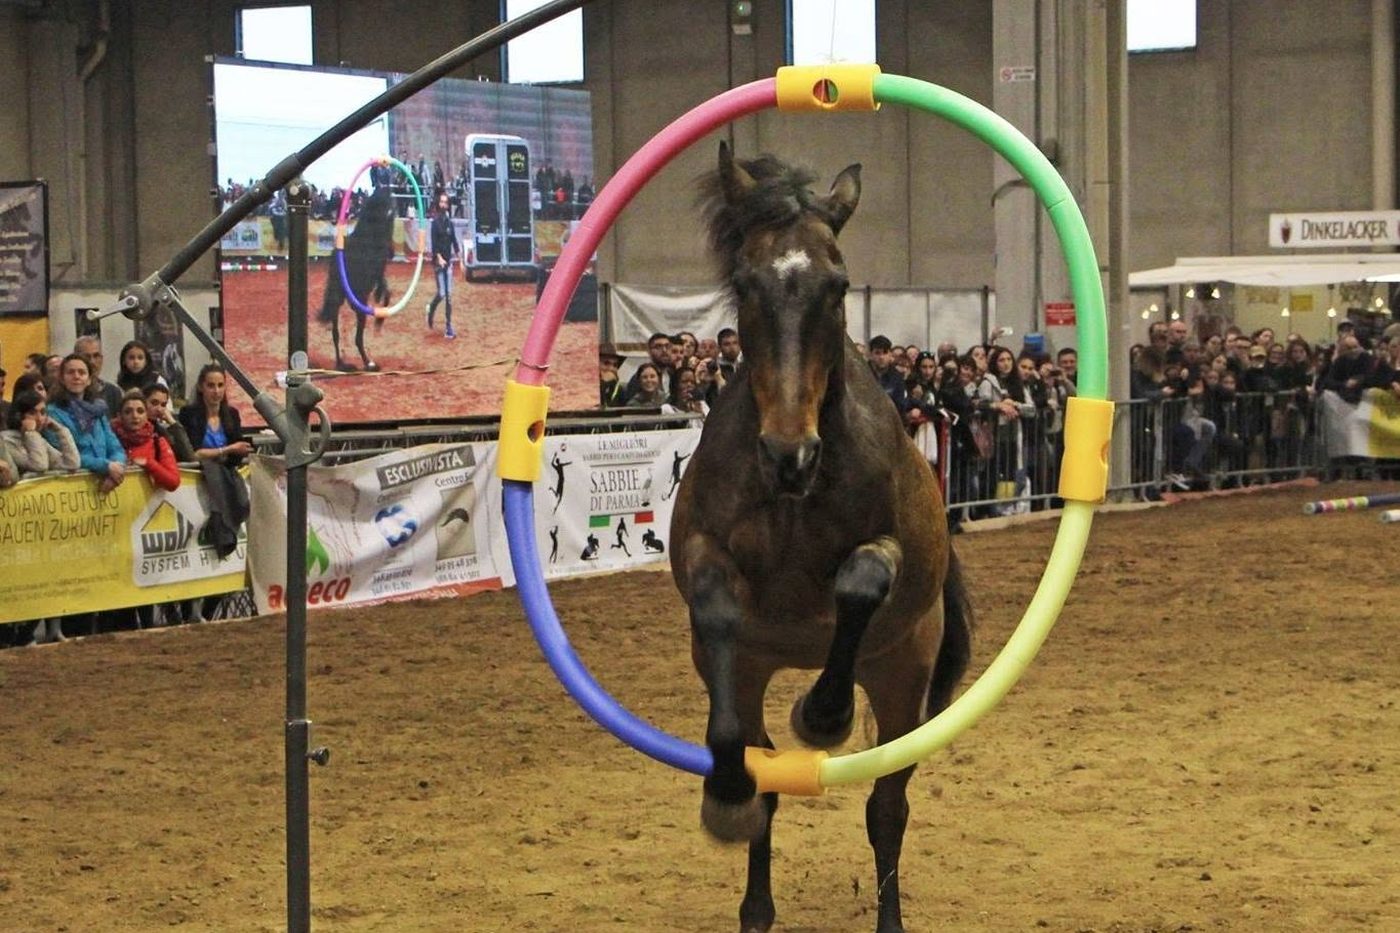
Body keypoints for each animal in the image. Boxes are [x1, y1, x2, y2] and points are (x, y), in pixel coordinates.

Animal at [318, 184, 396, 371]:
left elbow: (385, 291)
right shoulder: (378, 274)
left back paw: (342, 363)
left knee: (336, 334)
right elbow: (386, 293)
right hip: (359, 307)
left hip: (337, 303)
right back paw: (369, 364)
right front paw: (379, 321)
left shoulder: (378, 276)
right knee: (357, 338)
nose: (392, 252)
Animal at [669, 143, 974, 933]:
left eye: (837, 286)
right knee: (768, 776)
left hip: (902, 677)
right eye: (746, 282)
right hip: (755, 675)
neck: (792, 498)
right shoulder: (706, 562)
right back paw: (754, 900)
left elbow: (861, 581)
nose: (789, 452)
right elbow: (717, 607)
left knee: (887, 807)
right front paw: (726, 798)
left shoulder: (888, 556)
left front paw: (824, 713)